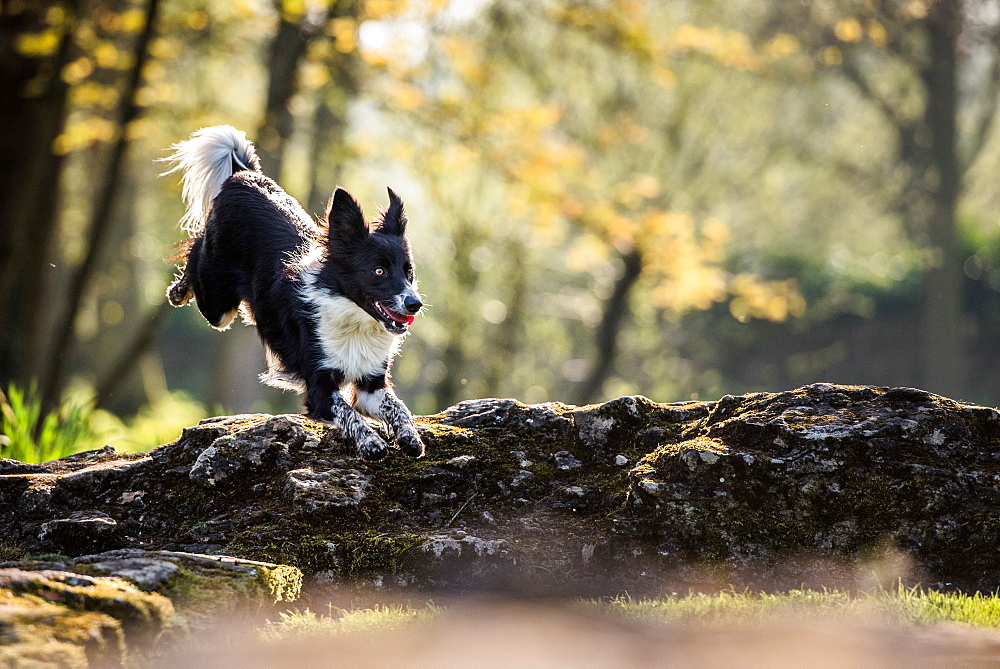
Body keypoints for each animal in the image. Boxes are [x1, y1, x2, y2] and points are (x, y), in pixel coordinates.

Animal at [161, 125, 426, 460]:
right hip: (218, 305)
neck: (353, 319)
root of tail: (244, 175)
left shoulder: (371, 384)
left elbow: (398, 407)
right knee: (196, 250)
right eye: (378, 271)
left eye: (409, 272)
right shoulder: (319, 387)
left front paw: (410, 436)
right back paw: (178, 291)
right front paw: (371, 442)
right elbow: (348, 413)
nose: (415, 304)